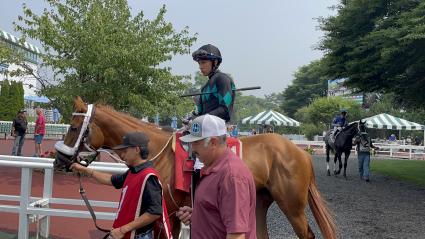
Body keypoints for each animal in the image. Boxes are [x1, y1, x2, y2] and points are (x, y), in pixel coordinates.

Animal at [54, 96, 336, 238]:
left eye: (73, 127)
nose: (60, 161)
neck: (154, 149)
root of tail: (300, 152)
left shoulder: (164, 212)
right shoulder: (173, 213)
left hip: (293, 207)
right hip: (260, 202)